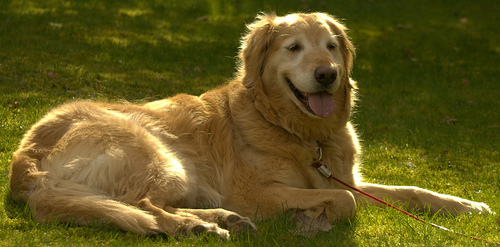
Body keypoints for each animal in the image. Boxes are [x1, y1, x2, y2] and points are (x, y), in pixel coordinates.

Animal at [8, 12, 492, 239]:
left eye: (332, 46)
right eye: (294, 48)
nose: (327, 75)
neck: (300, 133)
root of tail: (25, 159)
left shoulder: (345, 176)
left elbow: (413, 191)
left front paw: (467, 206)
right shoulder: (257, 191)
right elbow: (346, 202)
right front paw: (309, 220)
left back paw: (219, 221)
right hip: (158, 155)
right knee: (145, 207)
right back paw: (199, 227)